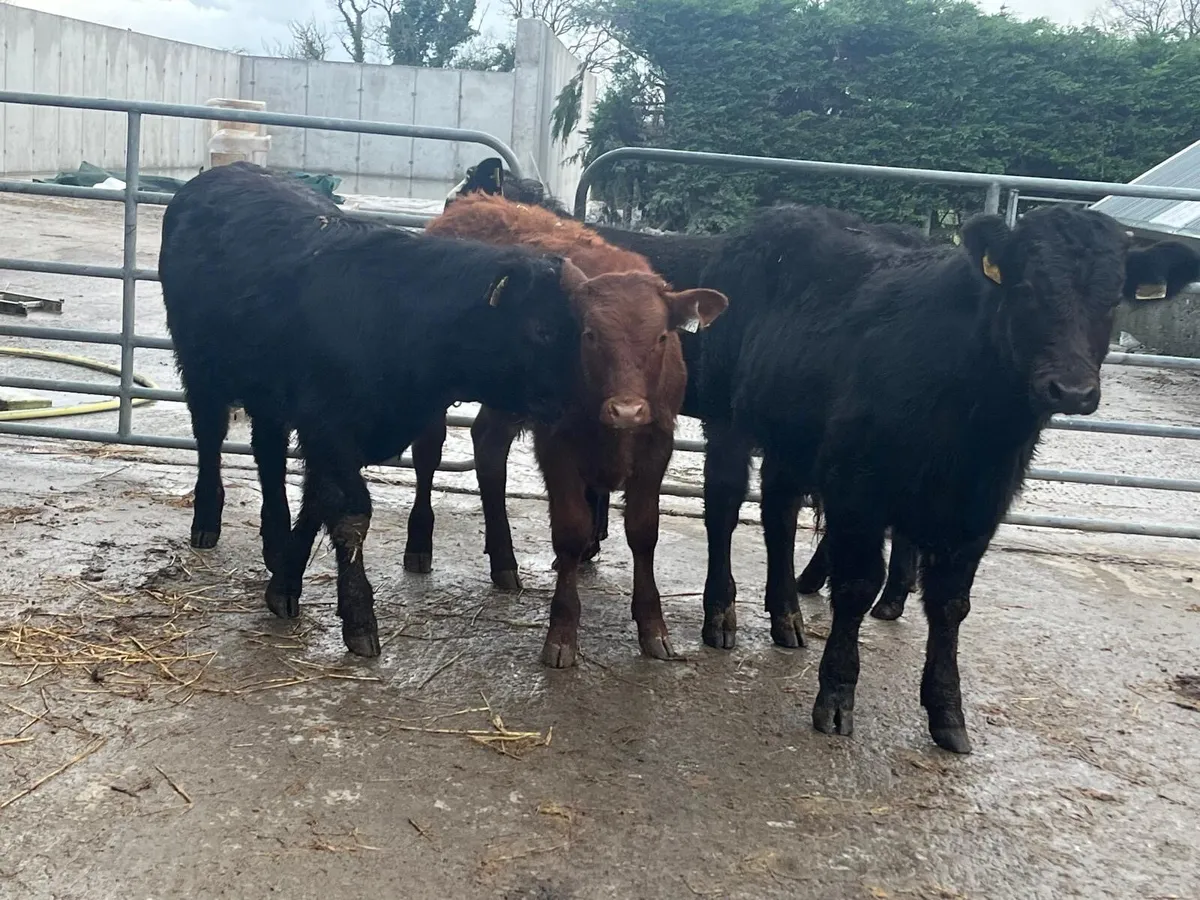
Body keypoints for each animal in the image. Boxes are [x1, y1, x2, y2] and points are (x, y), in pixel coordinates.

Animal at [160, 162, 587, 656]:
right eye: (541, 329)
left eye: (580, 328)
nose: (579, 402)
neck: (399, 317)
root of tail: (223, 172)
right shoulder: (329, 426)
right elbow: (348, 512)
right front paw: (359, 617)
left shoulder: (330, 433)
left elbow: (317, 500)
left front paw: (285, 578)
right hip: (200, 367)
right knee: (209, 435)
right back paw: (207, 520)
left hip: (268, 396)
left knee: (267, 454)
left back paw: (273, 535)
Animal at [423, 191, 728, 666]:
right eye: (589, 335)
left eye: (661, 338)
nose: (627, 410)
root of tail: (472, 203)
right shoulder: (557, 443)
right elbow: (569, 531)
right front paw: (562, 631)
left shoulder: (657, 443)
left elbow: (644, 531)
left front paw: (653, 626)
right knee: (428, 452)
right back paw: (418, 550)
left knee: (488, 447)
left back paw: (504, 561)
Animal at [690, 202, 1199, 752]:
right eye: (1027, 288)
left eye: (1112, 298)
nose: (1072, 390)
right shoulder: (857, 488)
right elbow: (856, 586)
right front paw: (837, 694)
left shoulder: (981, 505)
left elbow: (951, 602)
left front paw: (947, 711)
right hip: (727, 416)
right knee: (724, 504)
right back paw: (720, 615)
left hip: (791, 437)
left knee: (779, 513)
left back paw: (786, 617)